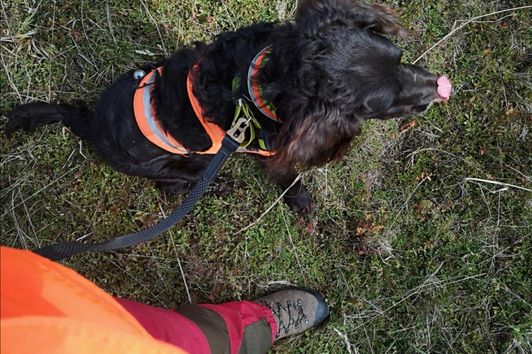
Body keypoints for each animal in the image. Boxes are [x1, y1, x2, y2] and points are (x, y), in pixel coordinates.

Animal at [6, 0, 450, 213]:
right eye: (386, 104)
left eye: (399, 56)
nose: (440, 87)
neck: (262, 78)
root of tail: (89, 124)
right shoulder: (272, 154)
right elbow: (289, 177)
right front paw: (300, 200)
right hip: (178, 165)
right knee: (172, 186)